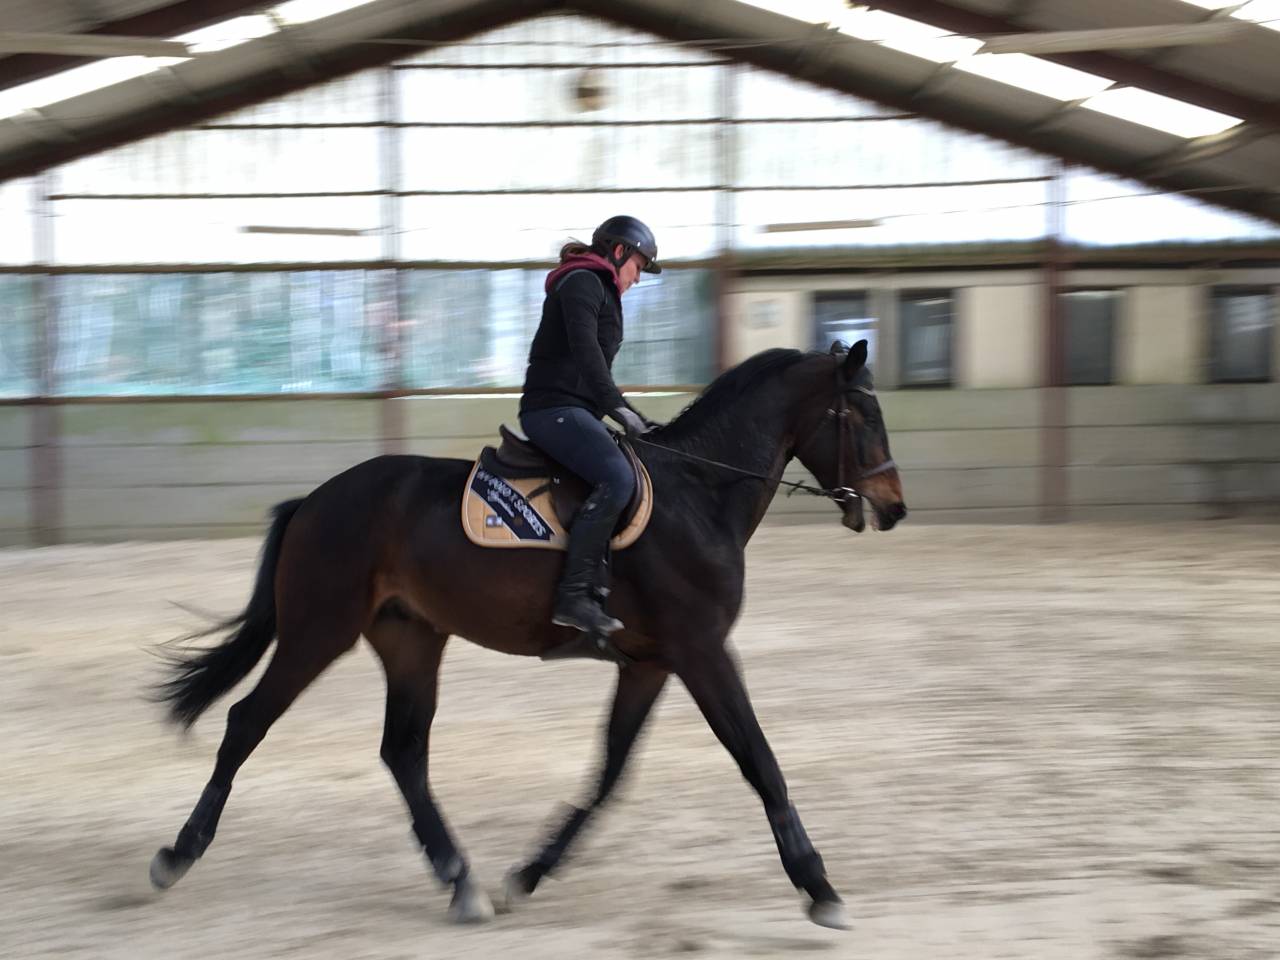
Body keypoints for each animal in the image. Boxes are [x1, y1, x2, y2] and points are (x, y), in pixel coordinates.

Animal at [149, 339, 907, 930]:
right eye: (865, 415)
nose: (895, 507)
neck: (698, 494)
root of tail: (314, 500)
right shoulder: (702, 652)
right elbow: (758, 760)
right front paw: (819, 886)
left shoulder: (650, 663)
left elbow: (610, 772)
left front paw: (531, 872)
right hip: (319, 628)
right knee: (248, 722)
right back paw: (177, 855)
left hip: (411, 639)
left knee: (403, 752)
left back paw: (461, 881)